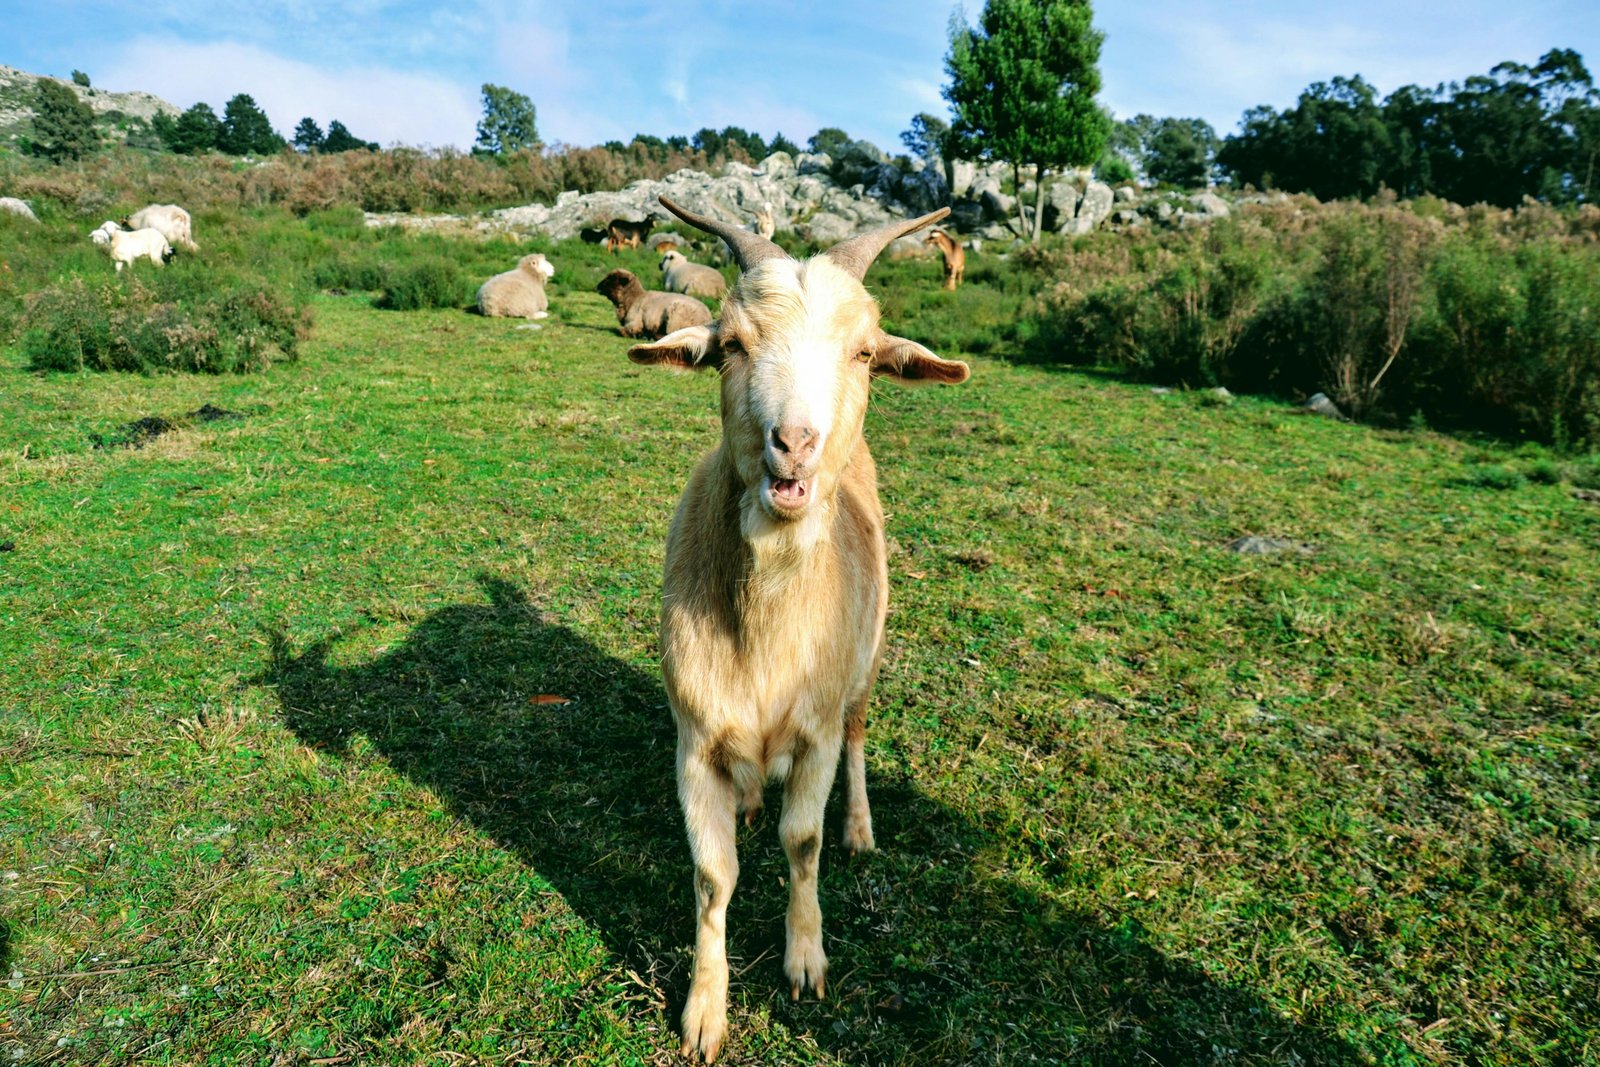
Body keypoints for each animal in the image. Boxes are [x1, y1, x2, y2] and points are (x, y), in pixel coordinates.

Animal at [627, 196, 969, 1062]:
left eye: (864, 352)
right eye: (731, 347)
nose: (795, 447)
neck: (766, 634)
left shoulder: (813, 734)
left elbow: (802, 844)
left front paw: (806, 959)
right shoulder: (694, 739)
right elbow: (713, 876)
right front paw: (704, 1011)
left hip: (867, 660)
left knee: (858, 734)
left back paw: (860, 826)